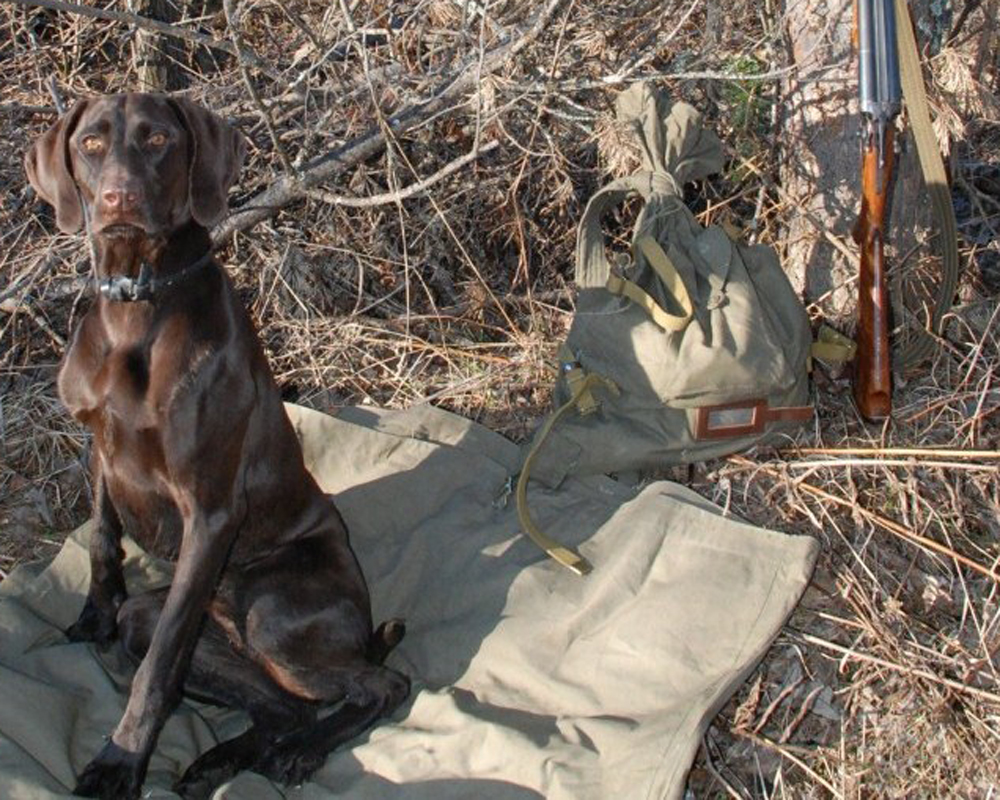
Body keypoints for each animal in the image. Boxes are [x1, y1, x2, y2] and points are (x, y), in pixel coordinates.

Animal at [25, 93, 409, 799]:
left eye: (157, 139)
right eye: (91, 143)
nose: (118, 198)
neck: (136, 303)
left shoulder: (208, 512)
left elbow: (156, 672)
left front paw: (119, 762)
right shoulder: (101, 446)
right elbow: (101, 537)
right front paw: (93, 615)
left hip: (271, 614)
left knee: (380, 685)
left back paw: (298, 752)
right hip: (182, 626)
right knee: (281, 705)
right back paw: (221, 762)